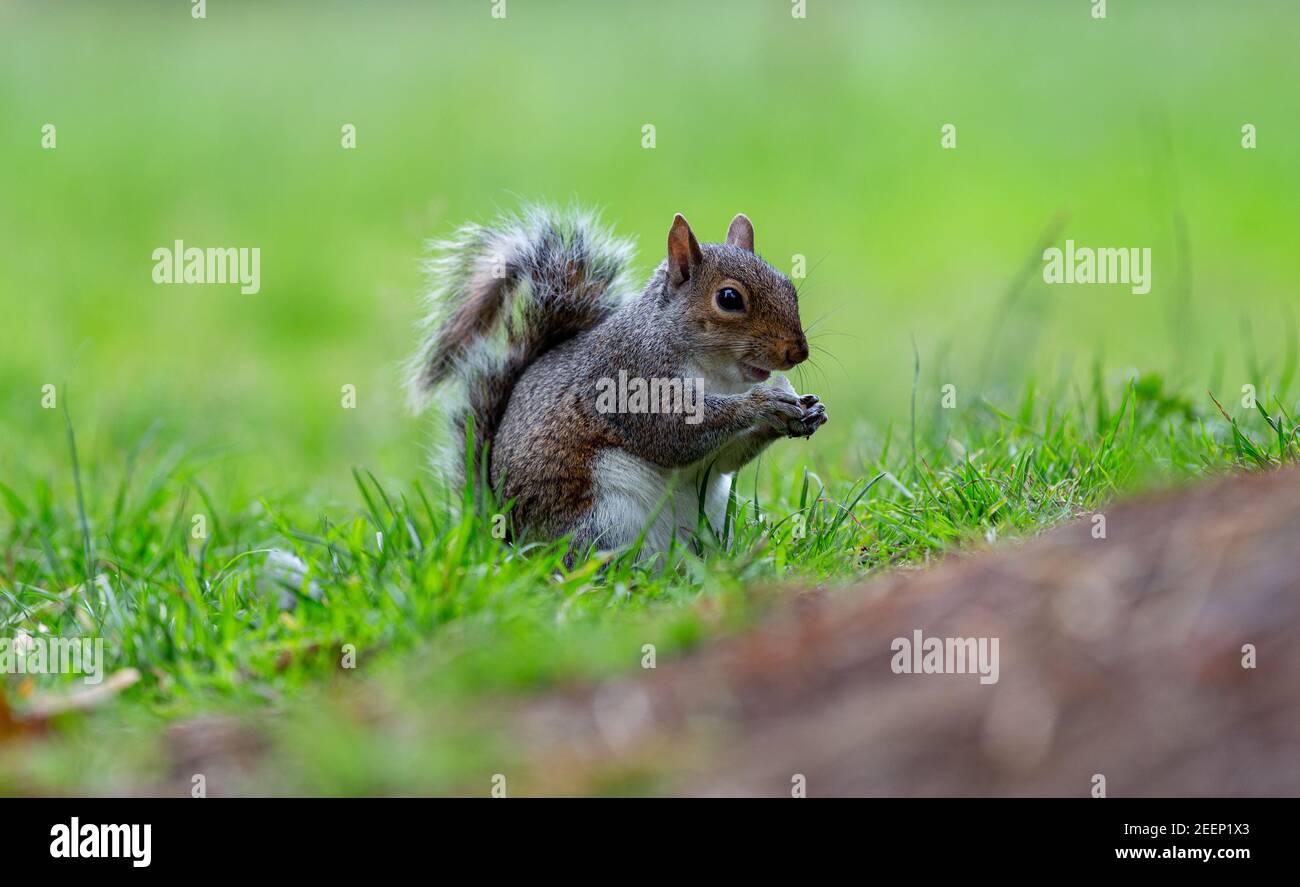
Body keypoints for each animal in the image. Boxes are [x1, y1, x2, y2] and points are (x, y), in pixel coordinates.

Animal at [410, 205, 826, 551]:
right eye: (729, 298)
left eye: (789, 285)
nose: (797, 352)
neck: (716, 375)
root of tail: (511, 542)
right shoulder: (630, 379)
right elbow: (674, 435)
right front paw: (762, 403)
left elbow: (722, 459)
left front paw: (806, 413)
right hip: (605, 520)